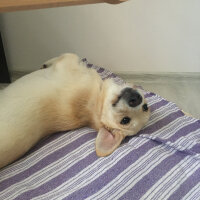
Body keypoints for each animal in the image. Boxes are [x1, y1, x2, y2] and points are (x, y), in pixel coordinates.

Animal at [0, 53, 150, 169]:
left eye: (124, 121)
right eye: (145, 106)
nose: (136, 99)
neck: (95, 104)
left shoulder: (66, 65)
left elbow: (70, 55)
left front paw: (46, 63)